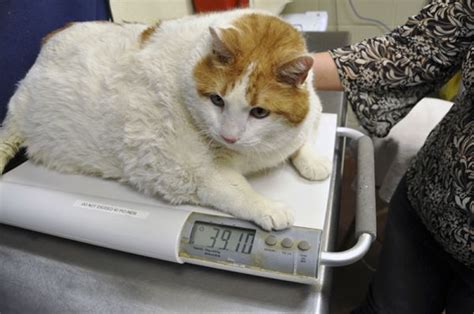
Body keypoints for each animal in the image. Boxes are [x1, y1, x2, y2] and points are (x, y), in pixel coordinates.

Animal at [0, 9, 330, 231]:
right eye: (217, 100)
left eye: (259, 112)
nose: (229, 136)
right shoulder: (182, 171)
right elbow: (233, 190)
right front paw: (267, 207)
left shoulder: (311, 109)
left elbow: (303, 137)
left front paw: (313, 161)